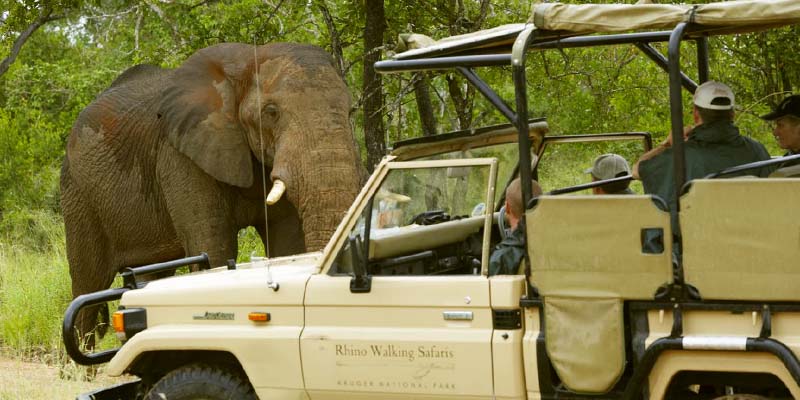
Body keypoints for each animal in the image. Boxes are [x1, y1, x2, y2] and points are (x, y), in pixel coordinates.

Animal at [61, 43, 364, 341]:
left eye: (351, 111)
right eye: (271, 112)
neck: (246, 62)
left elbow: (287, 243)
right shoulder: (179, 155)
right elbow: (213, 247)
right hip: (77, 194)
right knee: (88, 283)